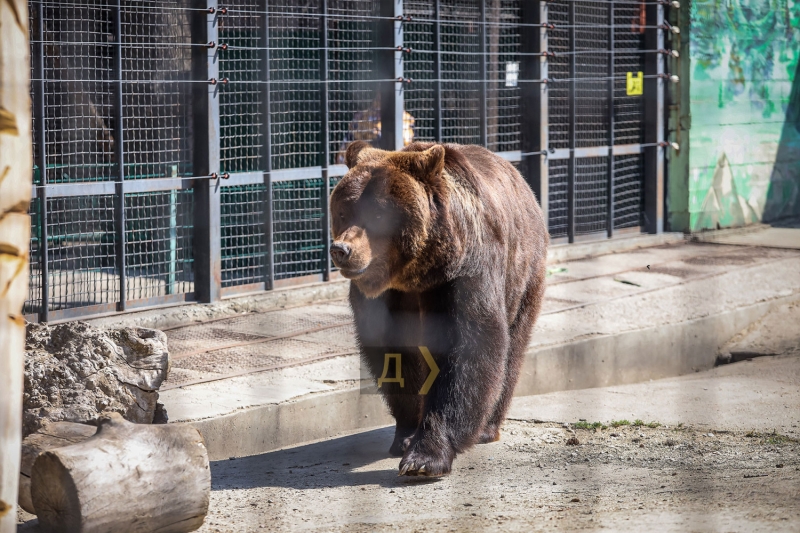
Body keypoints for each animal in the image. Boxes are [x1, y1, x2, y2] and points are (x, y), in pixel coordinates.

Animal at [328, 139, 548, 476]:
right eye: (343, 210)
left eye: (377, 215)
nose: (341, 249)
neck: (416, 274)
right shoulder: (386, 299)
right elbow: (396, 357)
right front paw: (406, 435)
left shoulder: (462, 274)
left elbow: (467, 351)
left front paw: (424, 457)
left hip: (523, 276)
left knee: (512, 349)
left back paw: (487, 427)